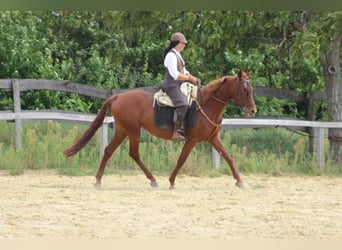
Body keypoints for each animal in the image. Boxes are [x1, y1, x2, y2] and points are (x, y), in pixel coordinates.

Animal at [64, 69, 256, 188]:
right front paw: (171, 182)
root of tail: (118, 96)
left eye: (252, 88)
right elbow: (181, 160)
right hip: (133, 131)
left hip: (122, 130)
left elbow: (228, 157)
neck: (206, 105)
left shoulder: (213, 138)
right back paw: (152, 180)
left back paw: (98, 180)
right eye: (244, 89)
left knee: (109, 150)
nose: (253, 110)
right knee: (133, 153)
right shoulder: (192, 140)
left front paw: (239, 181)